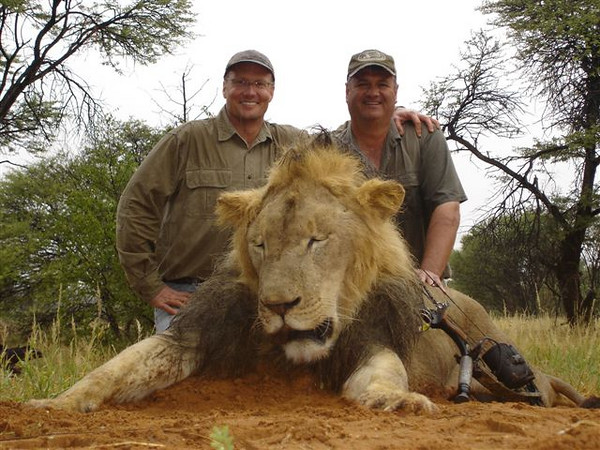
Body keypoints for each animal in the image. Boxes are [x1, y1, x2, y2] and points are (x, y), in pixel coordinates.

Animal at [29, 139, 600, 414]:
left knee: (538, 385)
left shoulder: (371, 338)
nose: (280, 307)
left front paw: (398, 401)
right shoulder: (197, 334)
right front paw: (55, 403)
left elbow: (384, 373)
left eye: (316, 240)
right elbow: (115, 369)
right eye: (261, 245)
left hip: (507, 360)